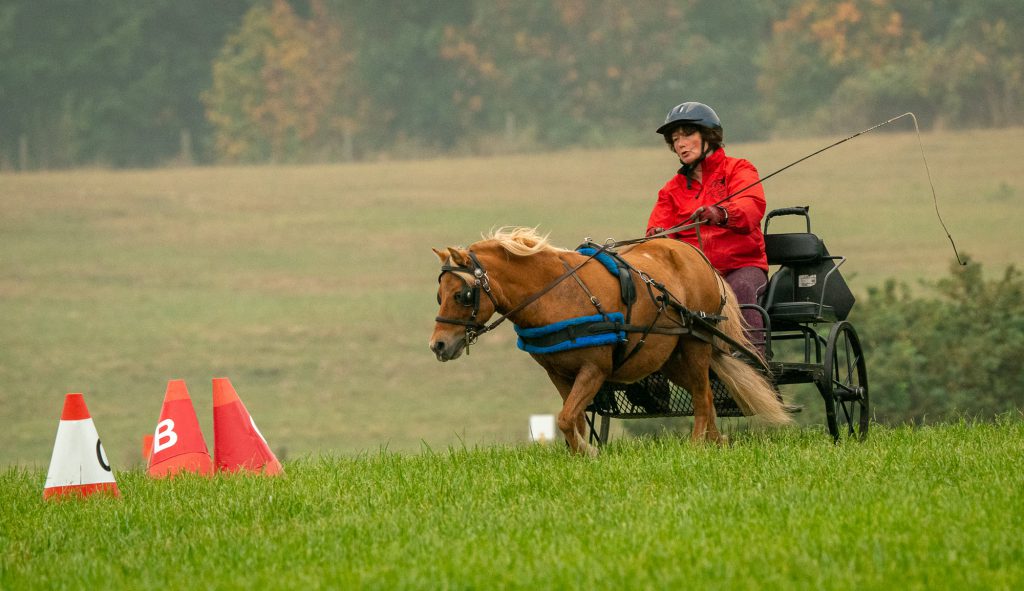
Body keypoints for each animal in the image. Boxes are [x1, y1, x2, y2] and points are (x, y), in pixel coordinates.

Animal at [428, 227, 786, 456]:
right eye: (439, 295)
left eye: (462, 295)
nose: (438, 346)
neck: (556, 293)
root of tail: (696, 255)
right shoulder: (559, 374)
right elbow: (572, 418)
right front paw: (579, 454)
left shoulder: (595, 369)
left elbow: (566, 418)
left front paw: (588, 452)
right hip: (669, 357)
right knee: (707, 394)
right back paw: (717, 441)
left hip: (695, 343)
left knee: (703, 395)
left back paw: (698, 445)